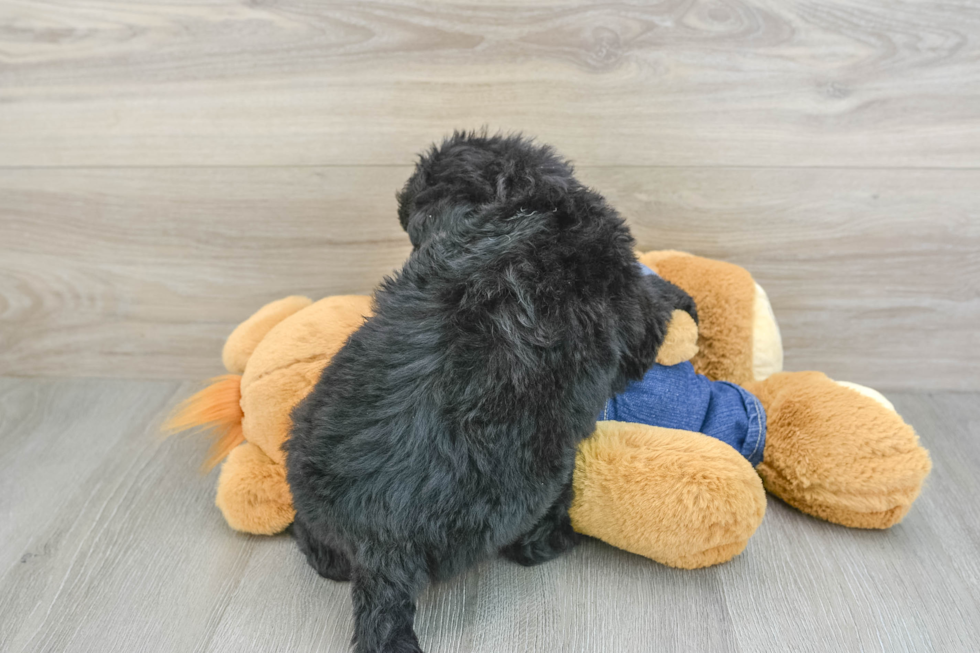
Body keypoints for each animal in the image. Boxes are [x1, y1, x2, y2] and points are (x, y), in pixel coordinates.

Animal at [284, 130, 696, 648]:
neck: (528, 203)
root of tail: (380, 551)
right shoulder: (629, 312)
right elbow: (653, 306)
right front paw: (682, 297)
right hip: (534, 486)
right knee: (533, 542)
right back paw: (561, 535)